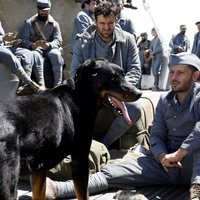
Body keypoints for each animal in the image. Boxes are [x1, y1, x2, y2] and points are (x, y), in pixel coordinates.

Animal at [0, 58, 141, 199]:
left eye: (123, 74)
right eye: (113, 78)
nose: (139, 93)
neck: (81, 96)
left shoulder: (39, 168)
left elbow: (39, 193)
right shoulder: (80, 160)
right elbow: (84, 195)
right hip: (8, 181)